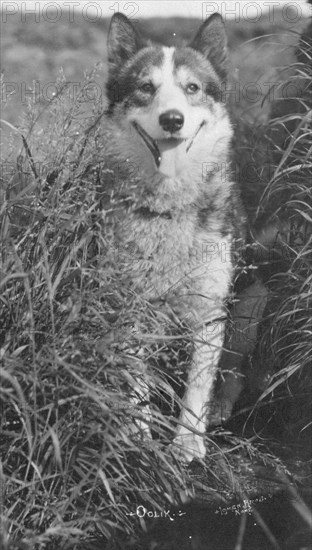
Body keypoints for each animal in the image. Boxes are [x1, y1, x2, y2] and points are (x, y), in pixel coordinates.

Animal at [103, 10, 255, 464]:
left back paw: (221, 407)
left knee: (235, 373)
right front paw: (137, 431)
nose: (173, 119)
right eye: (145, 87)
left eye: (193, 88)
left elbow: (198, 386)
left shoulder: (209, 312)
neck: (170, 208)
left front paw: (187, 442)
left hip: (249, 305)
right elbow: (134, 377)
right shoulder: (133, 305)